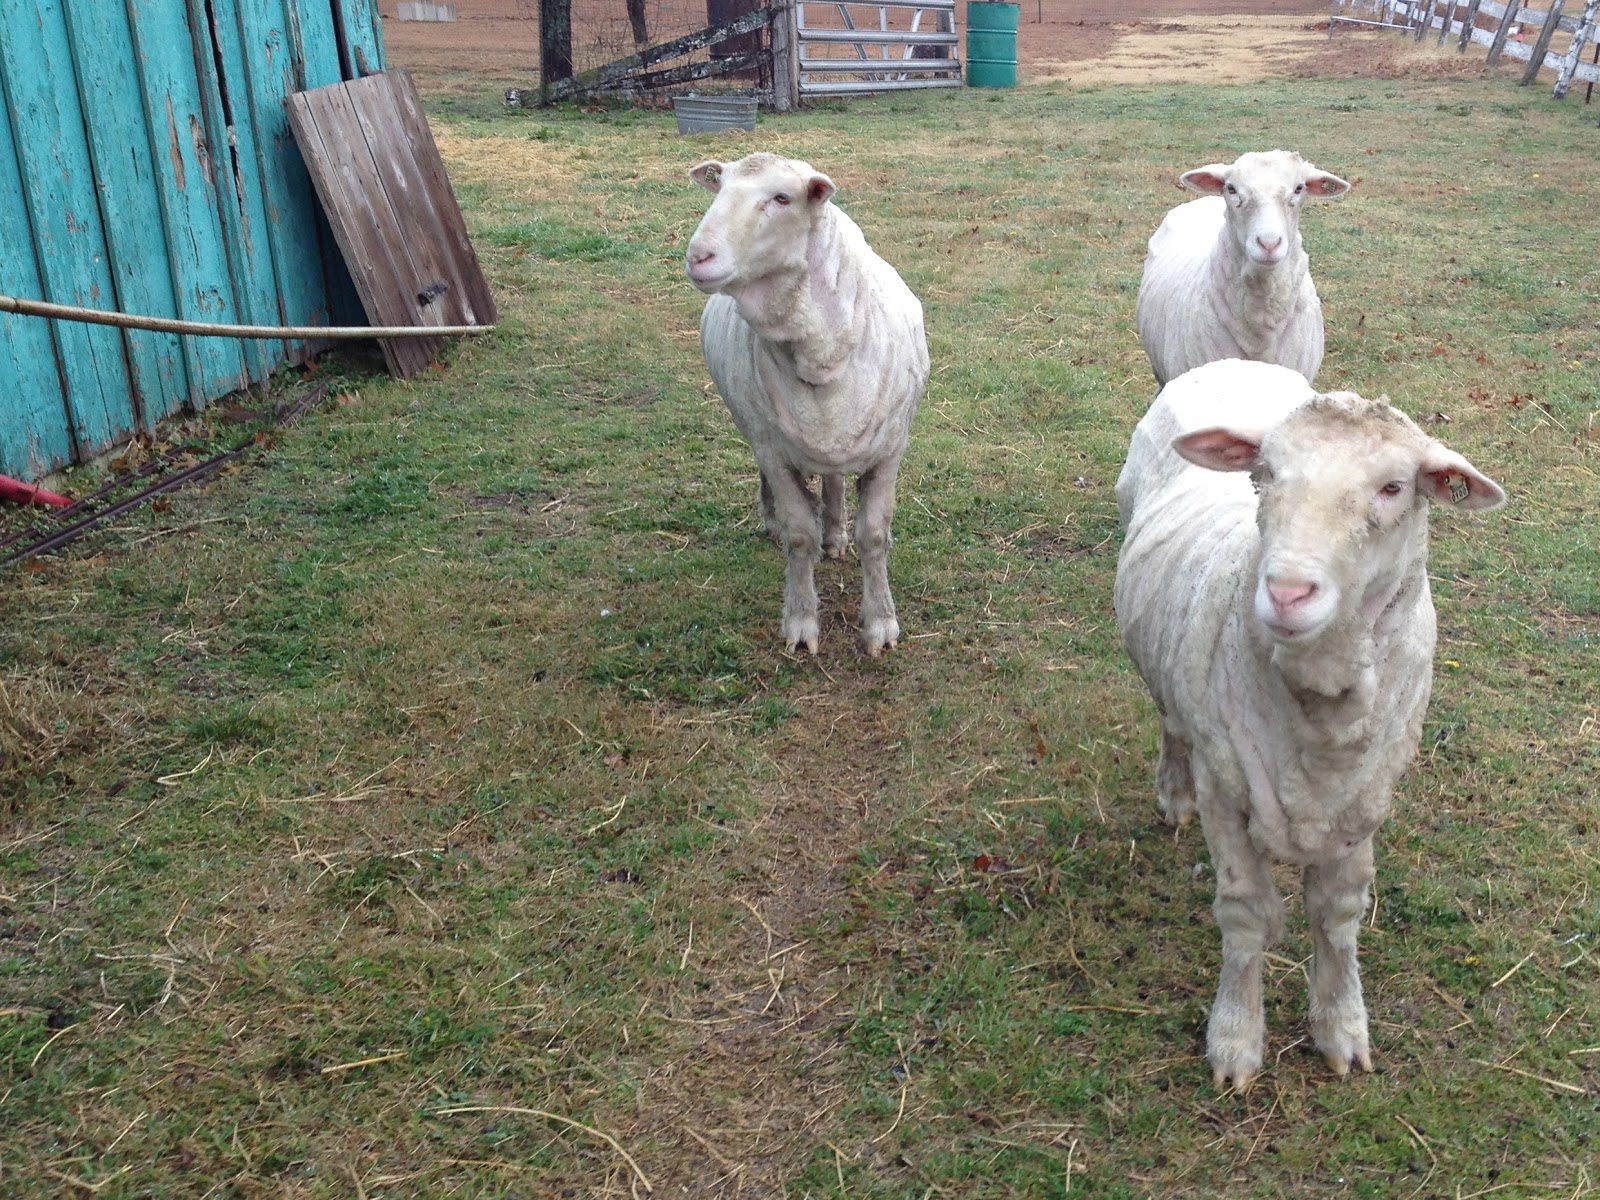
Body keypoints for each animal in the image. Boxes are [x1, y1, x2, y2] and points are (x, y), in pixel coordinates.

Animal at [685, 152, 929, 656]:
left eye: (782, 198)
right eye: (720, 190)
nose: (698, 257)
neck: (821, 354)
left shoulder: (890, 449)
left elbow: (875, 535)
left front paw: (881, 625)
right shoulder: (773, 449)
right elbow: (799, 536)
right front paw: (800, 623)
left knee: (834, 479)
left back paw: (834, 534)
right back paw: (774, 521)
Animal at [1113, 358, 1505, 1090]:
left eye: (1392, 487)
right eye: (1263, 472)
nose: (1288, 592)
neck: (1320, 718)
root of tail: (1235, 361)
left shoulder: (1365, 797)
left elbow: (1338, 916)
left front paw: (1342, 1027)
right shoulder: (1225, 788)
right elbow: (1246, 917)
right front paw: (1236, 1039)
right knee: (1172, 715)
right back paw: (1172, 789)